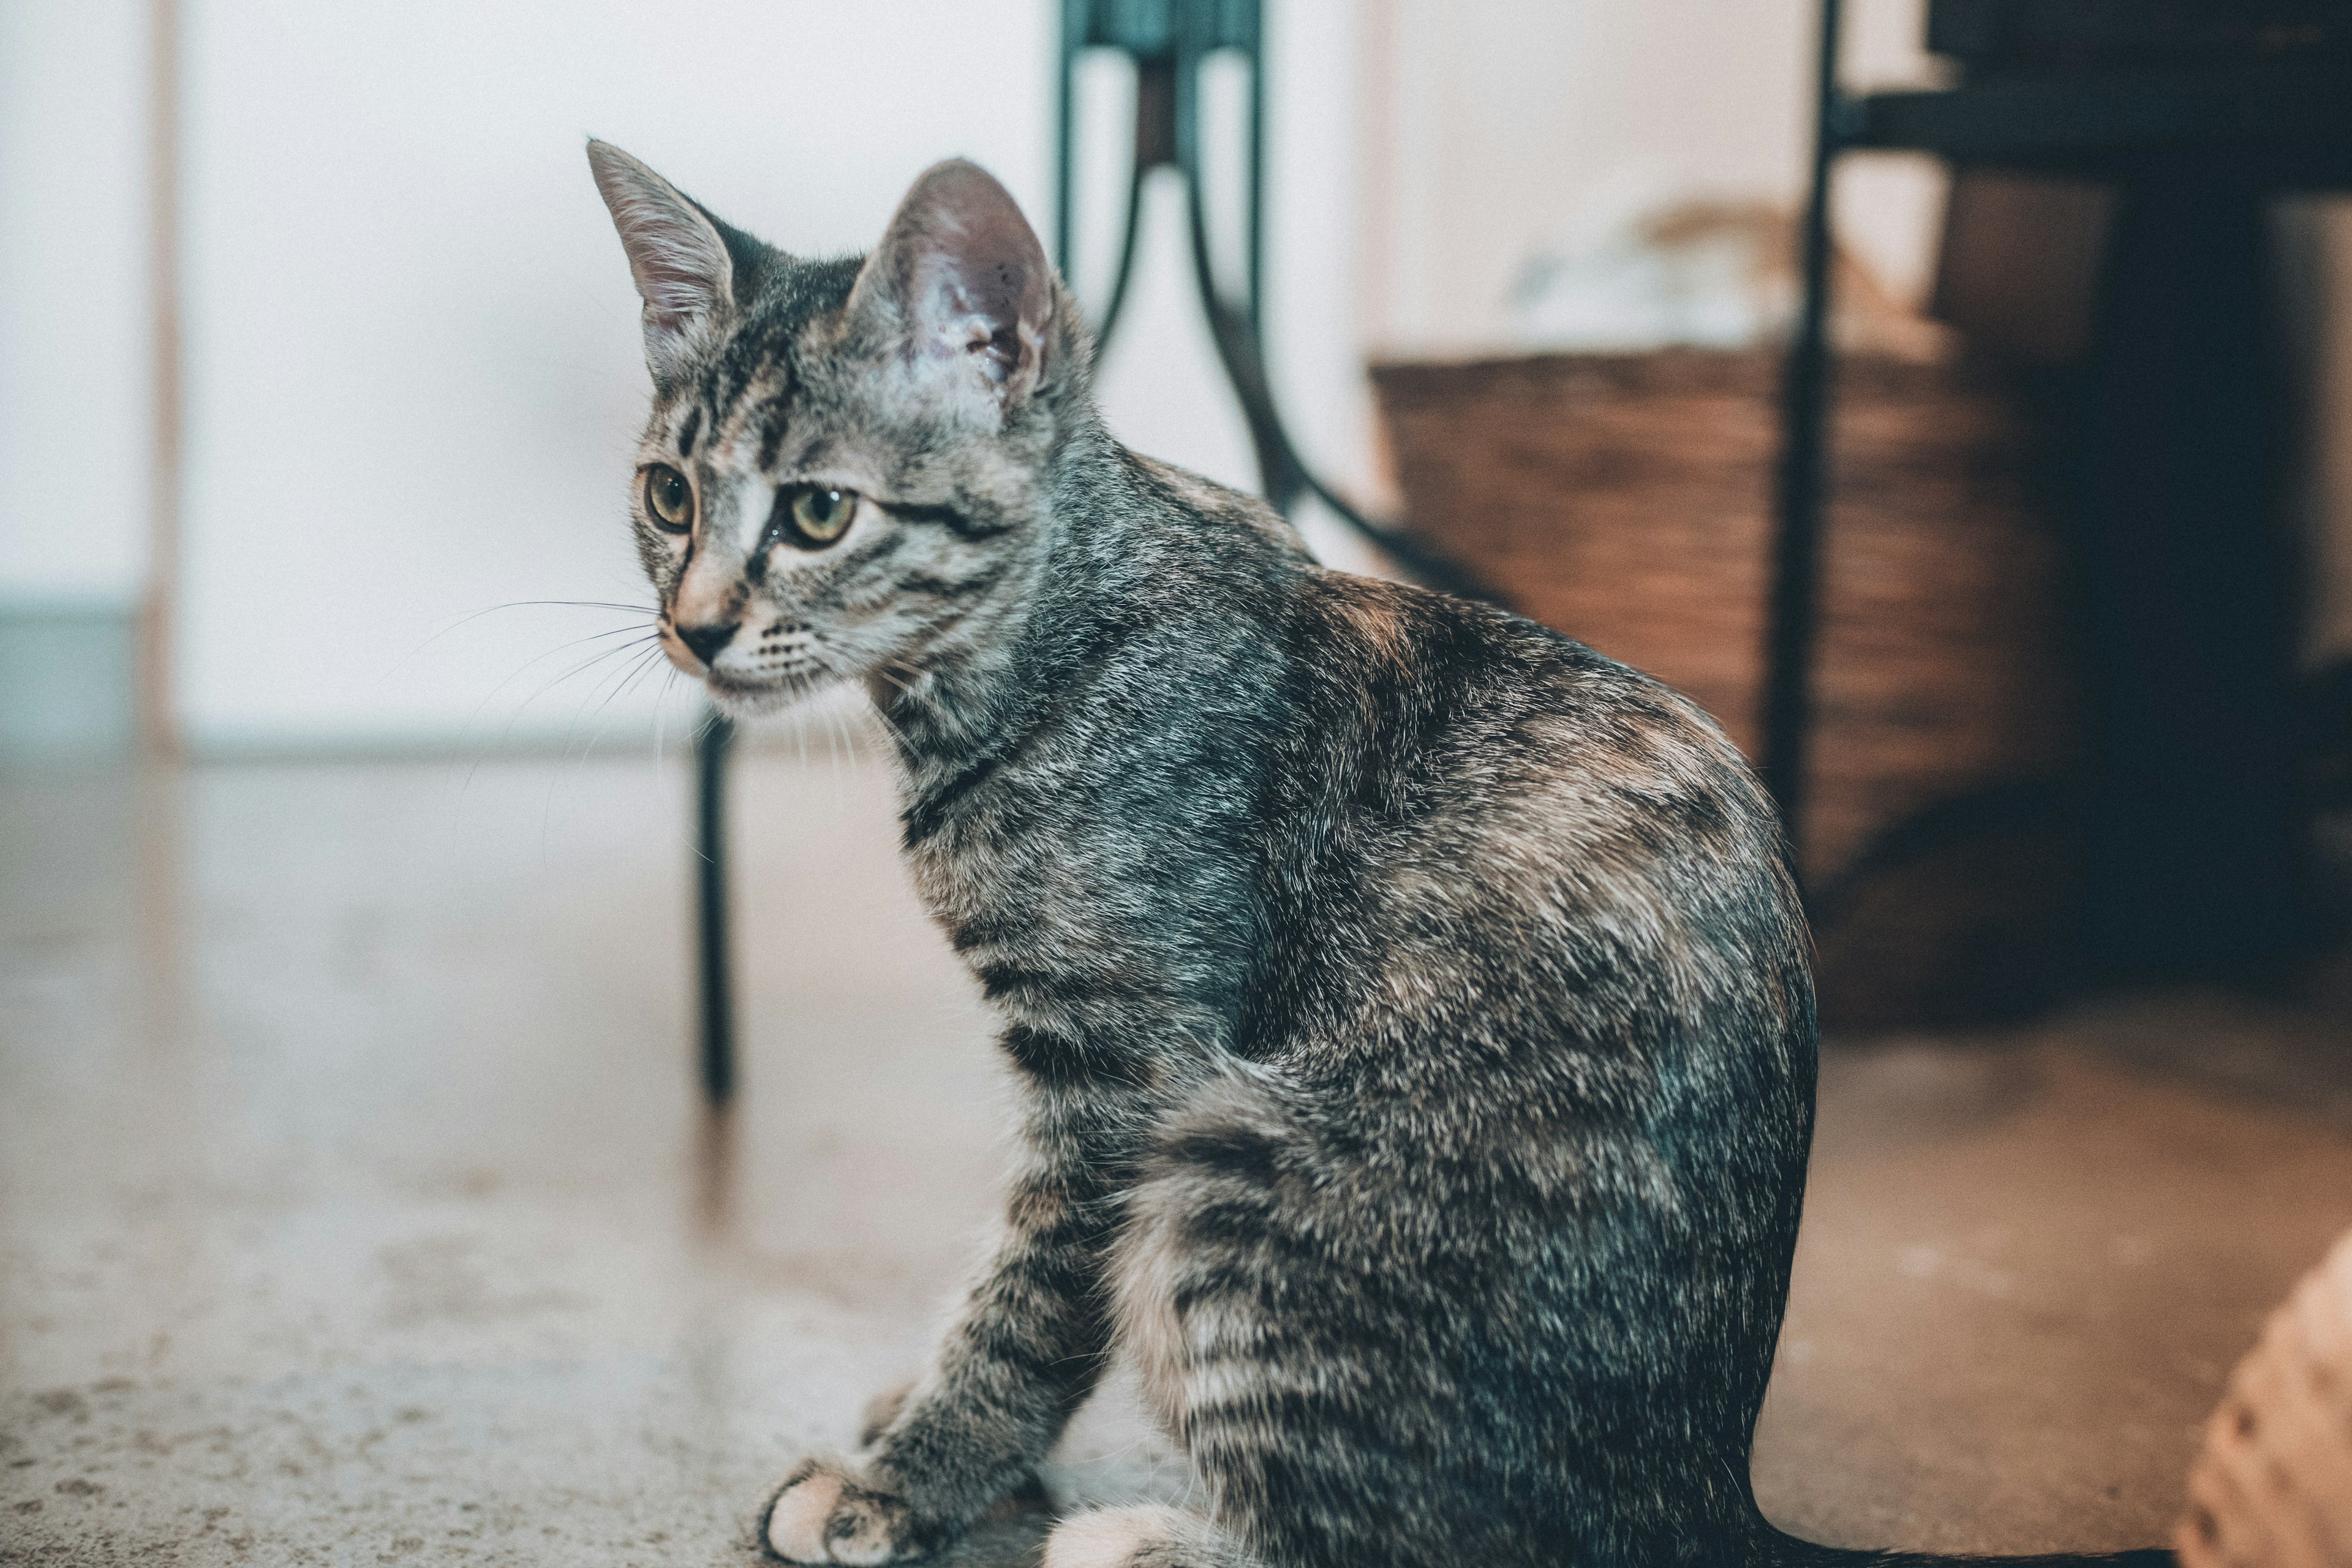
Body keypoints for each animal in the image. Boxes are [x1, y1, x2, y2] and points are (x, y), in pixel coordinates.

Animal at [588, 146, 2163, 1568]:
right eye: (668, 497)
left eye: (817, 512)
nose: (695, 627)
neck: (1036, 643)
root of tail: (1707, 1490)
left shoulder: (1127, 1066)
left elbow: (1035, 1293)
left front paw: (907, 1481)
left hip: (1231, 1159)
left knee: (1397, 1537)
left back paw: (1151, 1535)